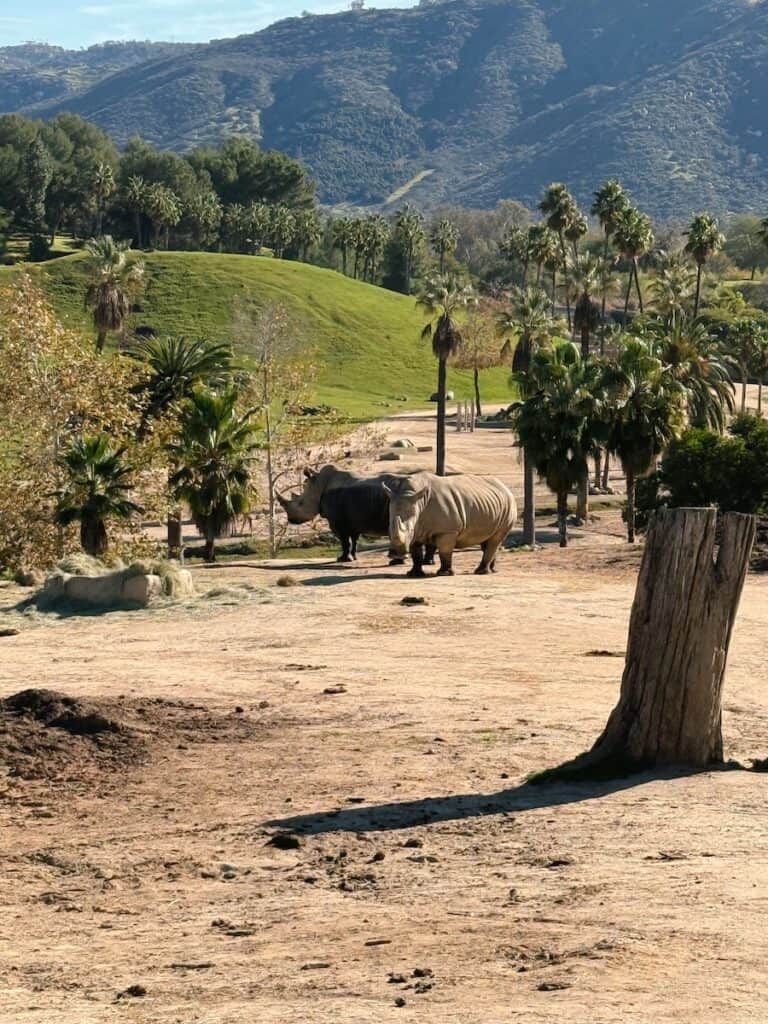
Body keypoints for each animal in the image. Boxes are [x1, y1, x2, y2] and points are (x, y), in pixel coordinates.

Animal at [277, 465, 435, 566]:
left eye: (300, 503)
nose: (291, 520)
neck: (318, 485)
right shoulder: (353, 520)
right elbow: (354, 540)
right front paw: (353, 557)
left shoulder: (337, 521)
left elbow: (344, 541)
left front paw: (342, 559)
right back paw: (427, 562)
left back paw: (397, 561)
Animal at [384, 472, 517, 578]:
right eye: (389, 527)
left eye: (410, 530)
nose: (397, 553)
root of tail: (506, 488)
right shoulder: (418, 530)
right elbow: (416, 553)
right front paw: (413, 574)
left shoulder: (447, 530)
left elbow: (445, 550)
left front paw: (444, 573)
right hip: (491, 504)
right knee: (488, 539)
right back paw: (492, 570)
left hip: (509, 506)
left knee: (495, 538)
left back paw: (481, 572)